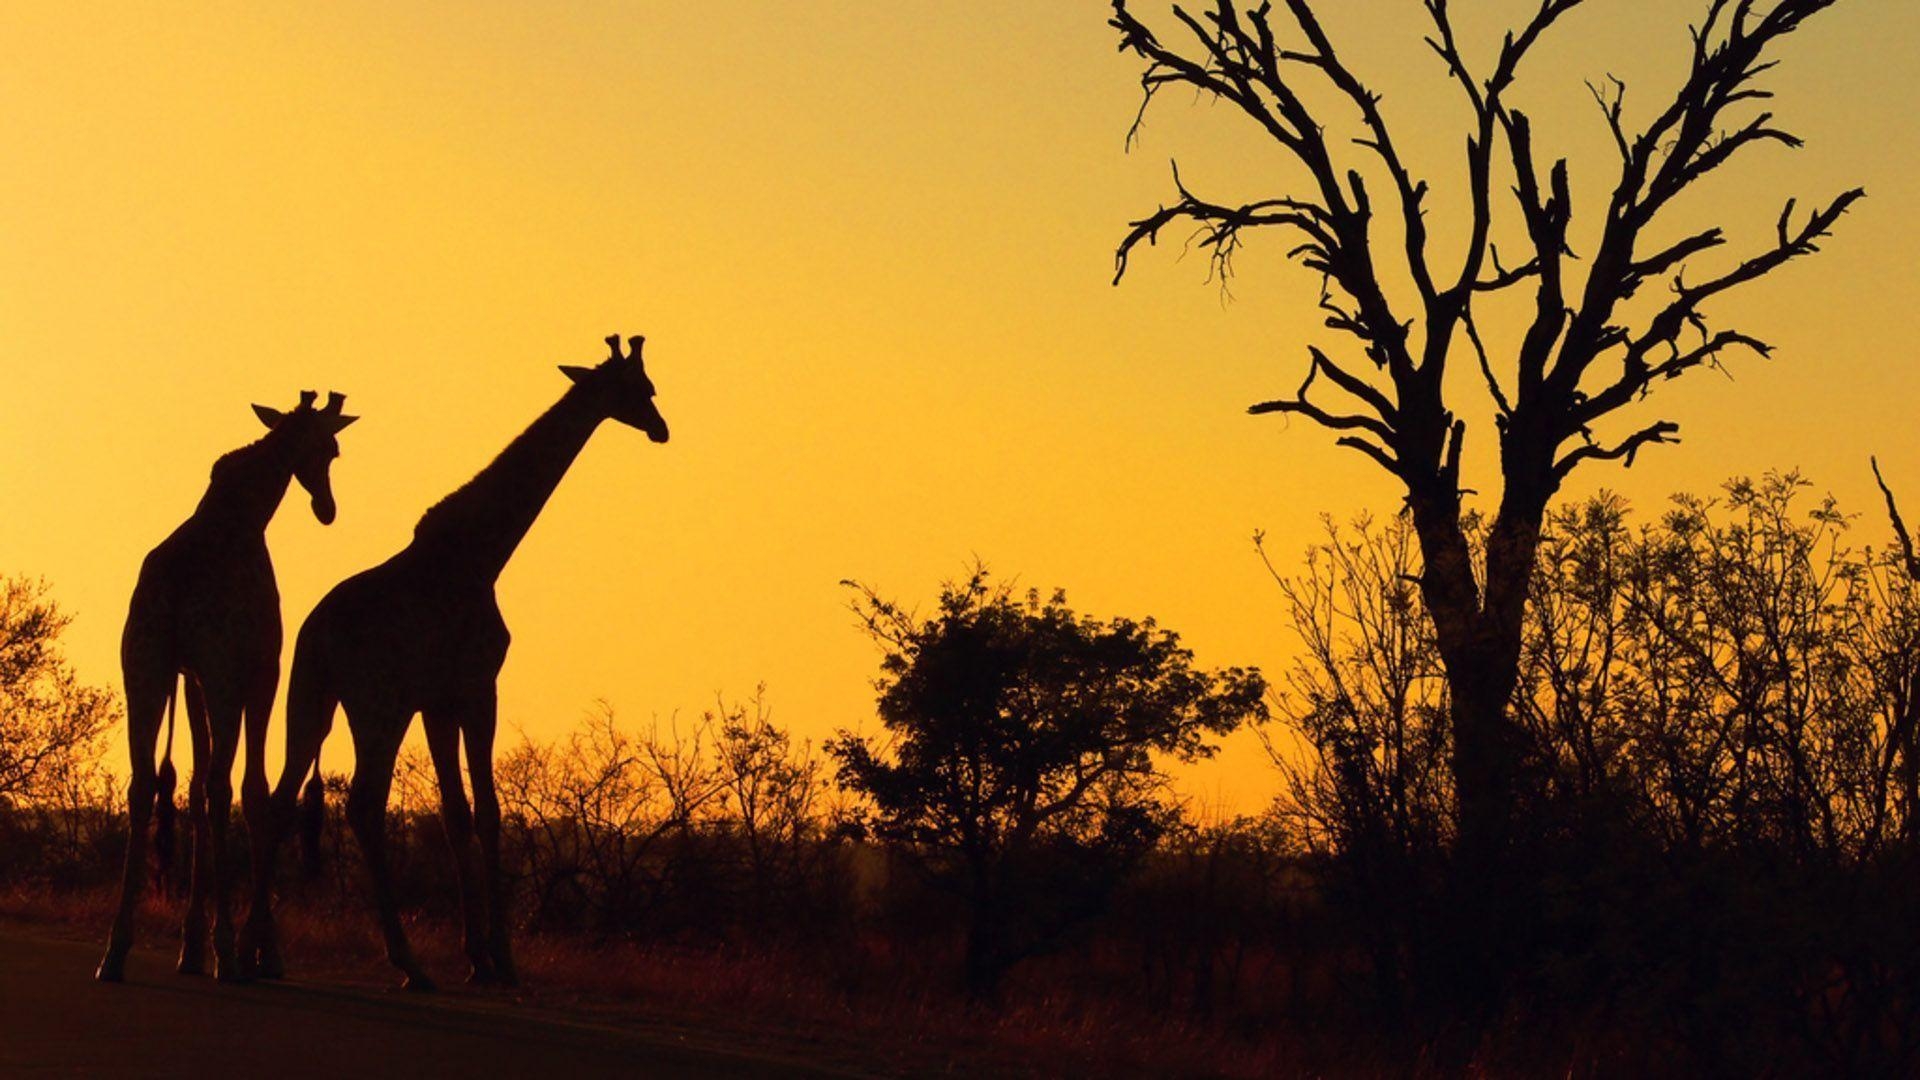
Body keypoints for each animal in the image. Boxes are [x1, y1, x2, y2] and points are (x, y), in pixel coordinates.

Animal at [98, 390, 360, 980]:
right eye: (330, 448)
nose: (327, 508)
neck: (245, 514)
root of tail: (171, 588)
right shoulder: (258, 670)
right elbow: (253, 790)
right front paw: (259, 950)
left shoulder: (191, 677)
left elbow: (193, 790)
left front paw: (190, 946)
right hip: (218, 676)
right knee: (221, 784)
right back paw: (225, 951)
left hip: (141, 669)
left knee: (143, 785)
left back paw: (115, 950)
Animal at [253, 334, 675, 983]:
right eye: (641, 388)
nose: (661, 429)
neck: (481, 555)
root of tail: (316, 635)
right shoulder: (478, 688)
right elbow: (489, 812)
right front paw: (502, 959)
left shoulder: (438, 701)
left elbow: (455, 814)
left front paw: (476, 954)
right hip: (378, 707)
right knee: (364, 805)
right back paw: (405, 962)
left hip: (313, 701)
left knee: (281, 801)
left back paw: (262, 952)